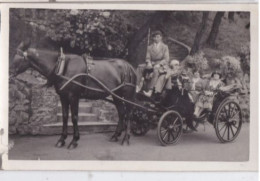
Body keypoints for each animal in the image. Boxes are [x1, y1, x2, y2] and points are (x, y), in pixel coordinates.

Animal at [9, 40, 137, 148]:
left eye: (18, 58)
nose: (9, 74)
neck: (62, 66)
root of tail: (130, 67)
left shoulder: (73, 96)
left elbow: (74, 117)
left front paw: (74, 140)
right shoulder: (63, 97)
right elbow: (65, 116)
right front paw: (62, 139)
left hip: (128, 96)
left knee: (129, 114)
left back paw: (126, 139)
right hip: (116, 96)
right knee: (121, 113)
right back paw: (115, 135)